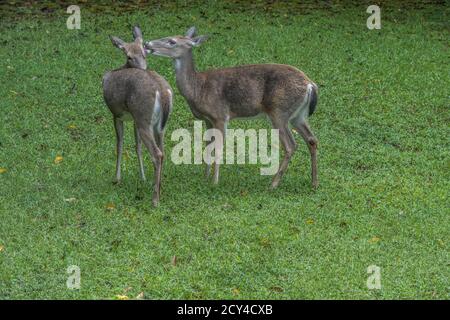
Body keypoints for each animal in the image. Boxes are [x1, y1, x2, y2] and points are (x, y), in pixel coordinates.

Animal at [103, 26, 173, 208]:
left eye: (144, 53)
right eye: (130, 56)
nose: (143, 67)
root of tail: (162, 92)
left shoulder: (116, 113)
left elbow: (119, 144)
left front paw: (117, 178)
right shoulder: (134, 118)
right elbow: (137, 146)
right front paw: (142, 177)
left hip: (143, 117)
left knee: (157, 154)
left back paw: (155, 200)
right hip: (157, 124)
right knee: (163, 150)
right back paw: (159, 187)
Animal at [146, 27, 318, 189]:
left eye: (172, 41)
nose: (147, 44)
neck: (198, 88)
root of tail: (310, 85)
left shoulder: (220, 115)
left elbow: (218, 148)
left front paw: (214, 182)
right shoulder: (207, 119)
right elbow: (207, 146)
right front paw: (205, 178)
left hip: (278, 111)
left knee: (290, 145)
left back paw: (273, 184)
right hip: (298, 115)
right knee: (312, 139)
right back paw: (314, 182)